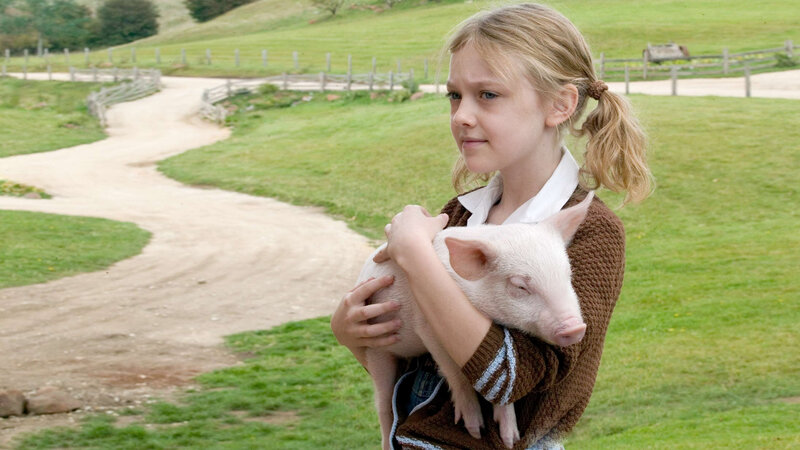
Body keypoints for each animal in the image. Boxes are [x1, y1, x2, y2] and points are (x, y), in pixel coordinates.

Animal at [358, 191, 593, 449]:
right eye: (520, 286)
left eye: (567, 274)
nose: (576, 327)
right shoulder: (427, 327)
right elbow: (455, 372)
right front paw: (475, 430)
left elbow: (505, 384)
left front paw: (510, 439)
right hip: (376, 350)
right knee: (383, 406)